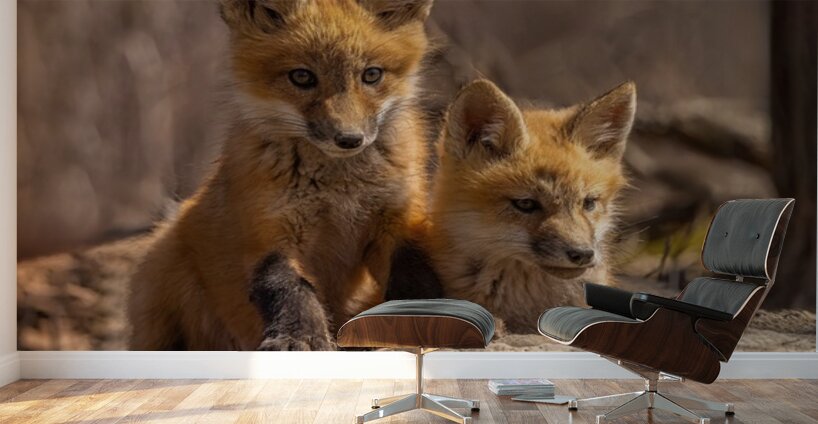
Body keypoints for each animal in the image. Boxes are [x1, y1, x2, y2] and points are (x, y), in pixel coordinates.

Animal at [128, 0, 434, 350]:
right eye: (302, 76)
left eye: (371, 75)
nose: (349, 139)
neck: (340, 190)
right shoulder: (269, 232)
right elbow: (291, 289)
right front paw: (299, 338)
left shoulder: (397, 223)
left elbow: (413, 281)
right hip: (161, 270)